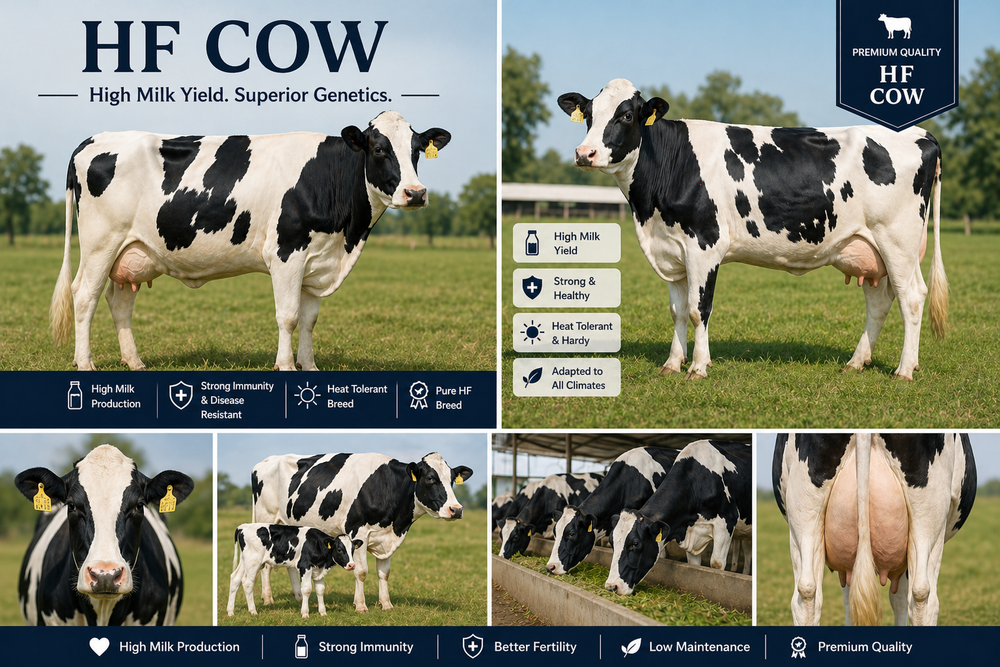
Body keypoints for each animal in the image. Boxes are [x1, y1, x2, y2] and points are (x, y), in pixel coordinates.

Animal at [51, 110, 451, 371]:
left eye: (416, 150)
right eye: (379, 149)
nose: (416, 193)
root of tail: (95, 138)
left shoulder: (316, 260)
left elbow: (309, 320)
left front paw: (309, 367)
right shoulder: (287, 253)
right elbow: (288, 316)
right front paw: (285, 367)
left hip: (133, 252)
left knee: (119, 302)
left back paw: (135, 363)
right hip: (100, 244)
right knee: (84, 296)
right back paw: (85, 364)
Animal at [227, 524, 362, 618]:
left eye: (352, 550)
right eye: (339, 549)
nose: (351, 565)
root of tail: (243, 527)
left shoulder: (318, 570)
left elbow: (320, 590)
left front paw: (323, 613)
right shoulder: (305, 567)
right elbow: (306, 590)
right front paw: (305, 614)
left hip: (245, 561)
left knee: (235, 579)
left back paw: (230, 612)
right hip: (253, 562)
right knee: (247, 582)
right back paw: (253, 611)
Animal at [251, 451, 473, 612]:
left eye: (451, 479)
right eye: (430, 478)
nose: (456, 509)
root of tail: (266, 460)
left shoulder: (386, 538)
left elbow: (384, 573)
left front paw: (386, 604)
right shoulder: (358, 532)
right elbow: (362, 571)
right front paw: (360, 606)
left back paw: (298, 597)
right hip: (266, 520)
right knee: (266, 565)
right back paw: (268, 599)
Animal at [558, 79, 946, 380]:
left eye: (625, 115)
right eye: (589, 114)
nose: (584, 153)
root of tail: (922, 133)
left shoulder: (704, 245)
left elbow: (699, 310)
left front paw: (698, 367)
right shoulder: (672, 251)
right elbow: (678, 311)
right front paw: (671, 363)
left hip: (898, 241)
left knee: (912, 298)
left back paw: (904, 370)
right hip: (868, 249)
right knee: (879, 302)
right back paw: (857, 362)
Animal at [605, 440, 751, 595]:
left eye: (635, 544)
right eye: (612, 541)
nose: (611, 586)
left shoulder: (726, 523)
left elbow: (716, 563)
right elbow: (694, 565)